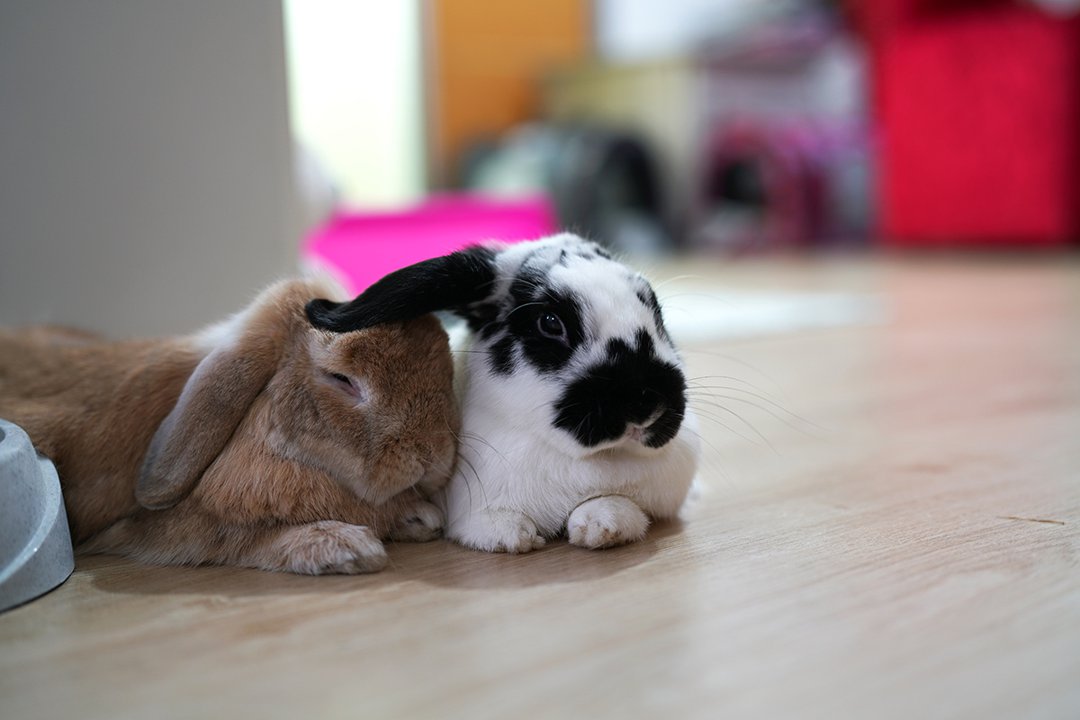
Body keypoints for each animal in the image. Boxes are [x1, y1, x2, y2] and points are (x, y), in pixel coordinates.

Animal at [0, 276, 460, 574]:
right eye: (341, 379)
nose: (432, 454)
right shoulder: (144, 529)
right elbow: (233, 537)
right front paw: (346, 547)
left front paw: (419, 516)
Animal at [308, 234, 699, 557]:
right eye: (550, 323)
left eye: (655, 310)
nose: (648, 404)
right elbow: (493, 523)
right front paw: (513, 534)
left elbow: (614, 503)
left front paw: (602, 524)